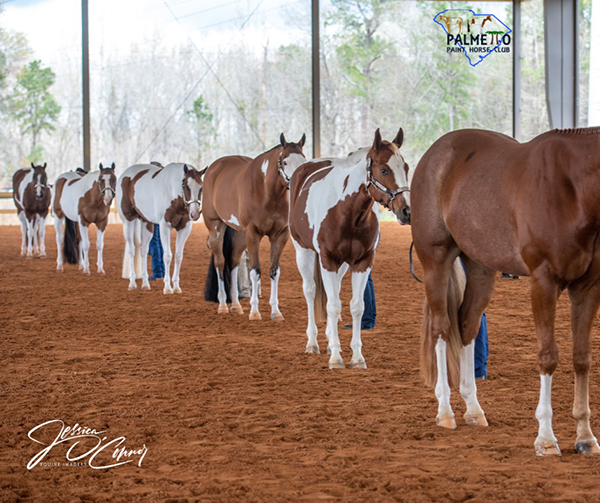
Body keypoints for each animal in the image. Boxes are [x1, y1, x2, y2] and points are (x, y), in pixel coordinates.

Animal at [117, 161, 206, 296]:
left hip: (147, 223)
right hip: (128, 221)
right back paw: (132, 283)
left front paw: (176, 287)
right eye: (186, 186)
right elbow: (167, 256)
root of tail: (125, 174)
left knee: (143, 251)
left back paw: (145, 284)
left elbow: (178, 256)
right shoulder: (165, 227)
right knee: (132, 250)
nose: (194, 214)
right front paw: (168, 288)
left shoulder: (184, 228)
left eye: (201, 187)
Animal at [203, 134, 308, 320]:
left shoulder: (280, 235)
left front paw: (276, 312)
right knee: (220, 262)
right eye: (285, 162)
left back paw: (236, 305)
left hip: (239, 234)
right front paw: (254, 312)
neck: (267, 192)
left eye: (303, 160)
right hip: (216, 227)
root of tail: (214, 168)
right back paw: (223, 305)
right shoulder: (253, 234)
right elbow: (255, 271)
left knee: (234, 261)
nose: (297, 182)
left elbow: (274, 271)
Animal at [288, 128, 410, 368]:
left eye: (406, 167)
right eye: (384, 169)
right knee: (310, 291)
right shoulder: (328, 259)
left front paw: (357, 357)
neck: (349, 212)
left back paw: (327, 341)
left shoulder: (362, 262)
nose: (406, 211)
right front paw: (336, 358)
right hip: (304, 252)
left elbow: (356, 307)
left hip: (342, 266)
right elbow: (333, 306)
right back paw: (312, 343)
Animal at [412, 126, 600, 456]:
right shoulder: (543, 283)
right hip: (435, 261)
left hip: (481, 268)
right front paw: (546, 439)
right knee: (441, 328)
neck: (573, 190)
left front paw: (585, 437)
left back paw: (473, 410)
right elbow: (548, 356)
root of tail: (434, 153)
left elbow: (582, 358)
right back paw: (445, 412)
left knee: (466, 324)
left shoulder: (587, 288)